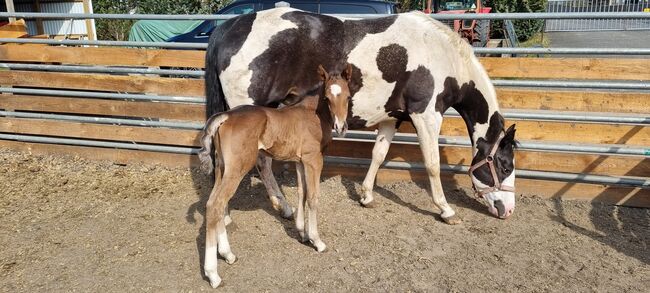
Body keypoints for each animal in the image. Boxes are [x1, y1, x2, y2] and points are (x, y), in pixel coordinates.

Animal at [199, 64, 350, 288]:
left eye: (348, 97)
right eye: (327, 98)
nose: (341, 127)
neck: (311, 113)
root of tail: (225, 116)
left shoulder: (299, 161)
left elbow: (302, 193)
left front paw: (303, 234)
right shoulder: (314, 160)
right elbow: (313, 198)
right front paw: (317, 241)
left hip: (222, 168)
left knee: (215, 204)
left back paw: (227, 255)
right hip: (237, 168)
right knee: (215, 205)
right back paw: (213, 275)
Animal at [205, 8, 520, 224]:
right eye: (505, 166)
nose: (508, 209)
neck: (441, 56)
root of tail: (229, 27)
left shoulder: (392, 118)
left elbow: (378, 155)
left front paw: (366, 195)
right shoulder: (426, 115)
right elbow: (432, 164)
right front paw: (445, 209)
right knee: (257, 162)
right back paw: (266, 208)